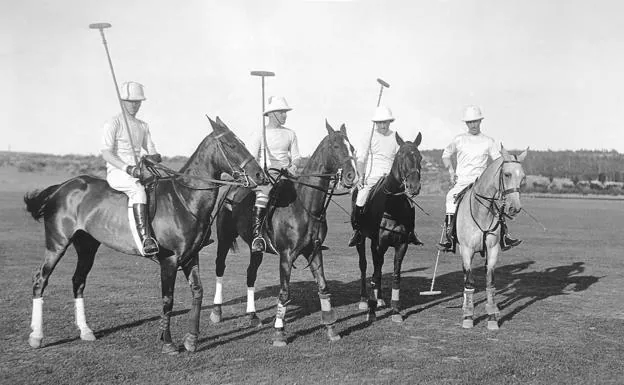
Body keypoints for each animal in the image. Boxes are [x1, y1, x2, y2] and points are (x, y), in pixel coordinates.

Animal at [22, 117, 264, 354]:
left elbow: (198, 292)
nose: (260, 174)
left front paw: (191, 339)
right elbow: (168, 299)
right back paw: (36, 336)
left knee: (78, 281)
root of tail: (61, 187)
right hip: (57, 243)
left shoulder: (190, 257)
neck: (185, 199)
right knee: (40, 279)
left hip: (87, 245)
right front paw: (167, 342)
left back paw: (85, 331)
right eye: (231, 145)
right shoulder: (169, 260)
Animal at [211, 120, 356, 344]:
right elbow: (284, 293)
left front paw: (331, 328)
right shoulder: (286, 256)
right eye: (335, 146)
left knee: (251, 273)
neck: (305, 206)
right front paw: (279, 332)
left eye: (352, 148)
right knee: (220, 267)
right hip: (224, 238)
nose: (351, 176)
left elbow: (323, 287)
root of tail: (232, 188)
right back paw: (217, 312)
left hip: (255, 248)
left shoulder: (314, 252)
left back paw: (253, 316)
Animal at [352, 131, 424, 320]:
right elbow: (375, 272)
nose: (413, 187)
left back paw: (380, 299)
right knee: (364, 265)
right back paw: (364, 300)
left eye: (420, 157)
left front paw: (396, 311)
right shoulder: (380, 243)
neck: (394, 207)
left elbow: (395, 275)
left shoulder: (402, 244)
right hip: (362, 238)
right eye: (400, 156)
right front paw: (371, 310)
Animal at [454, 146, 528, 328]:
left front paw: (492, 317)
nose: (514, 208)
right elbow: (469, 282)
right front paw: (468, 317)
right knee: (465, 276)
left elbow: (490, 283)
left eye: (523, 177)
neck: (482, 211)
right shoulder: (467, 250)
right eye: (507, 174)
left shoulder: (493, 249)